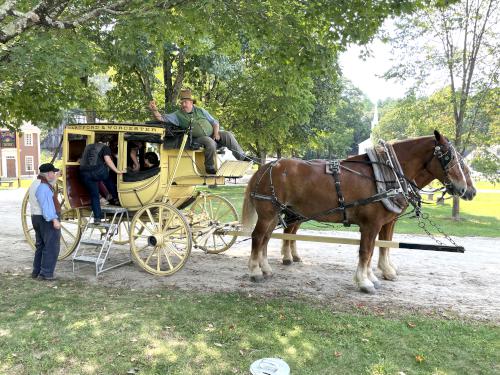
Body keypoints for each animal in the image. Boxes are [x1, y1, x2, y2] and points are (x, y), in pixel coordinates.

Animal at [242, 131, 476, 294]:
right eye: (449, 157)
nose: (468, 190)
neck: (386, 174)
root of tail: (266, 167)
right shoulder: (371, 224)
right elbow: (367, 251)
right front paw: (365, 282)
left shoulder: (385, 222)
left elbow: (379, 248)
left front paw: (377, 274)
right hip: (269, 213)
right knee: (258, 237)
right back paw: (255, 271)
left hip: (277, 214)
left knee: (267, 238)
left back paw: (266, 268)